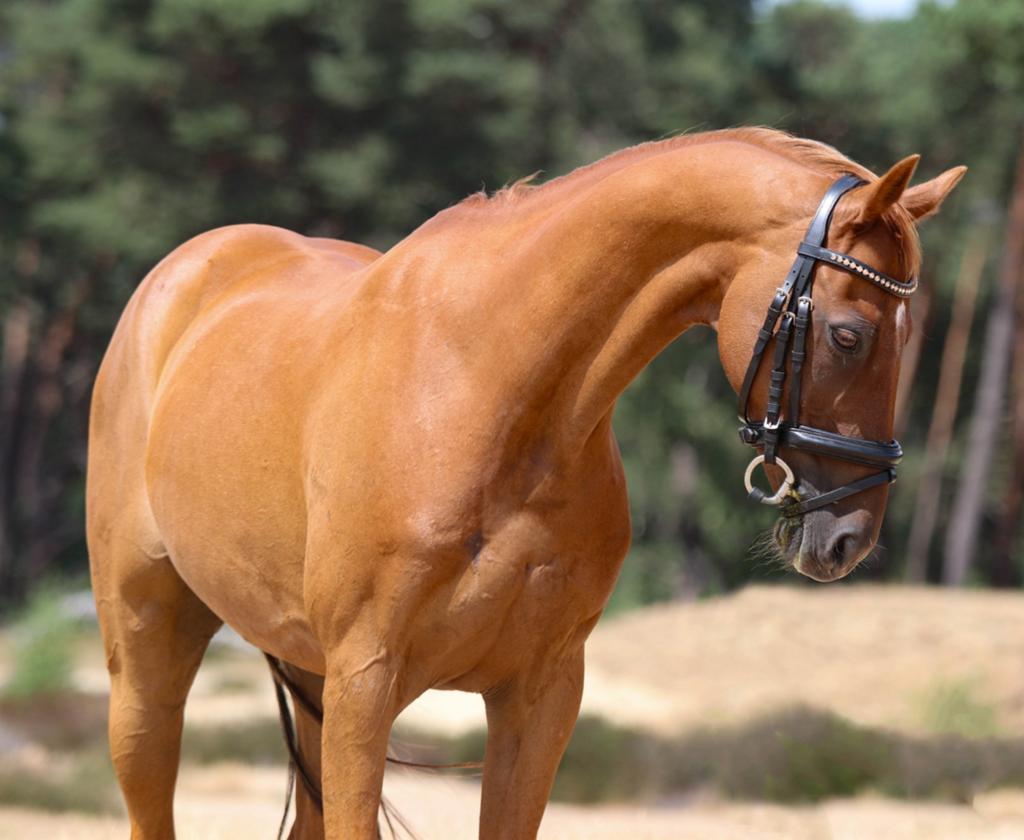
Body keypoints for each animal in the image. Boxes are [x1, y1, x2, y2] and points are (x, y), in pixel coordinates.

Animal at [86, 127, 964, 839]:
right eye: (848, 335)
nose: (848, 535)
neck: (491, 388)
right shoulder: (366, 684)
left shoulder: (539, 693)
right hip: (148, 659)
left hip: (306, 674)